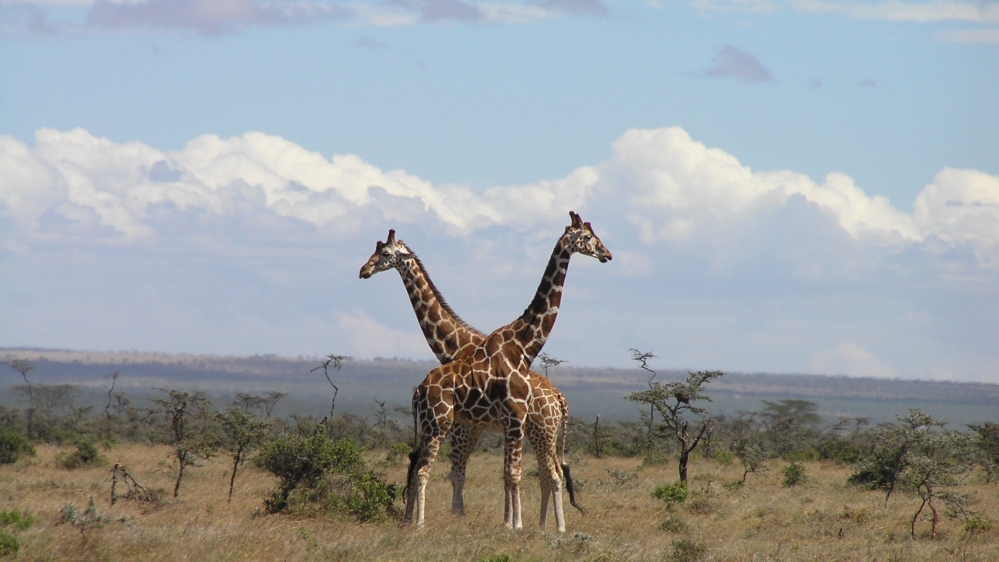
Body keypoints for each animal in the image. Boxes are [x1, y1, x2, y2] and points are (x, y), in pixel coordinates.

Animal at [359, 230, 580, 530]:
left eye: (384, 254)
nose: (364, 270)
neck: (457, 346)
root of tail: (560, 398)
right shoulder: (478, 426)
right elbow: (476, 473)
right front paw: (495, 520)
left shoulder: (466, 427)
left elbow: (465, 473)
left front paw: (474, 518)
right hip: (541, 433)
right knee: (550, 473)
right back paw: (545, 526)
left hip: (544, 431)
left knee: (552, 473)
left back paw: (556, 528)